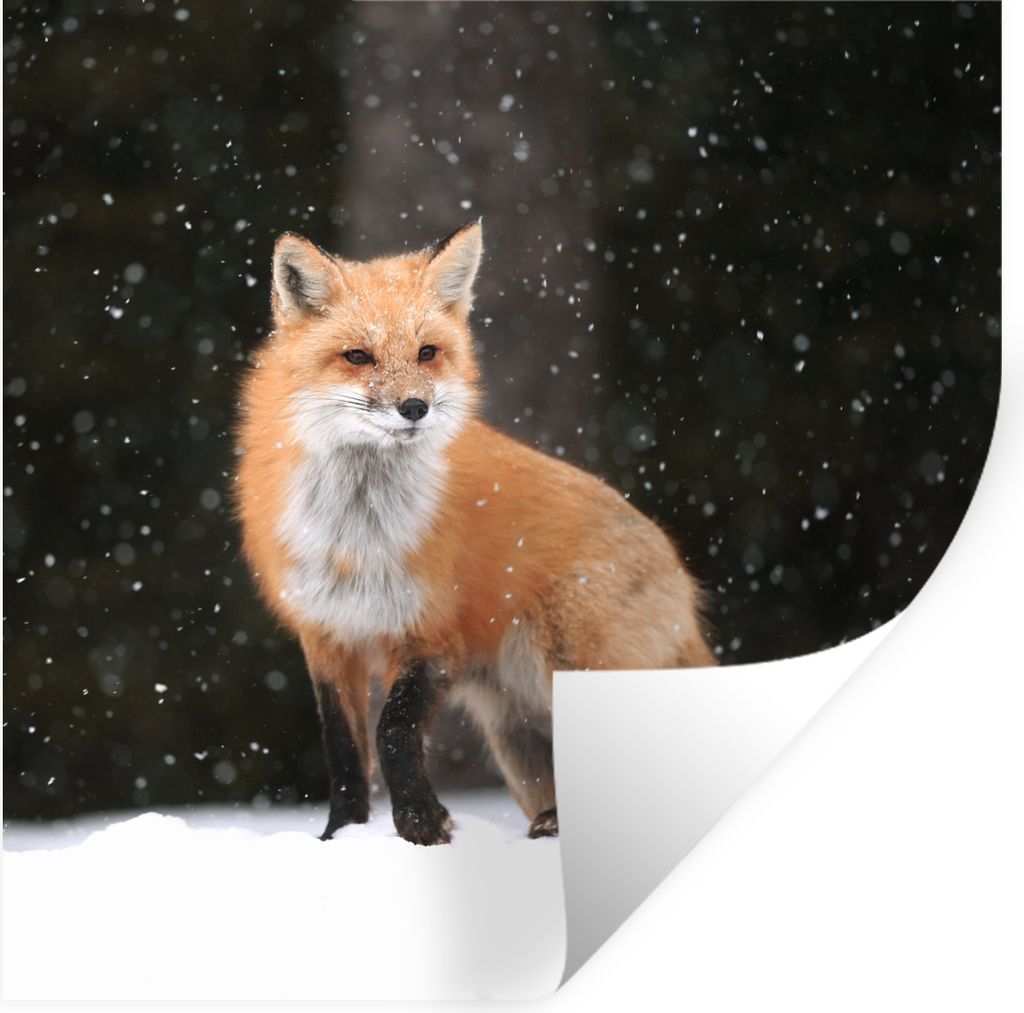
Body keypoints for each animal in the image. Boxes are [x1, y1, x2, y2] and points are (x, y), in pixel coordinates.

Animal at [236, 220, 715, 846]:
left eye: (427, 353)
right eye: (358, 357)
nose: (414, 407)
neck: (357, 540)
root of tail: (681, 577)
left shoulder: (433, 633)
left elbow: (393, 731)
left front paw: (420, 823)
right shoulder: (327, 636)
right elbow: (343, 752)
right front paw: (340, 836)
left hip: (569, 666)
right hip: (518, 734)